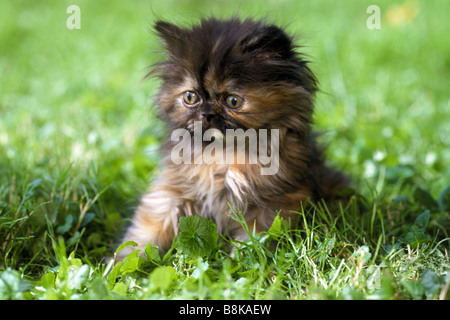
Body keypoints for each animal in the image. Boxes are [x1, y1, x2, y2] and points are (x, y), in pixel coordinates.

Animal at [116, 16, 348, 258]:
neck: (222, 155)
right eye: (190, 97)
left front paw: (244, 265)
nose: (207, 114)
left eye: (233, 101)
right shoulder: (170, 192)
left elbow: (253, 246)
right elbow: (144, 234)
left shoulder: (274, 204)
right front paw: (122, 262)